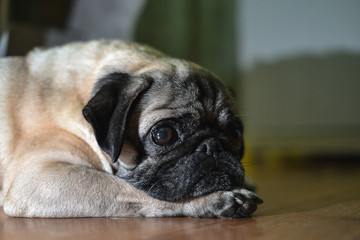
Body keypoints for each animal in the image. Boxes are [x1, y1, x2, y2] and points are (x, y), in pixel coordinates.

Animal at [0, 39, 264, 218]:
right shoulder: (40, 178)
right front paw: (217, 200)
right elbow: (136, 191)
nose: (212, 146)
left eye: (235, 135)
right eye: (163, 135)